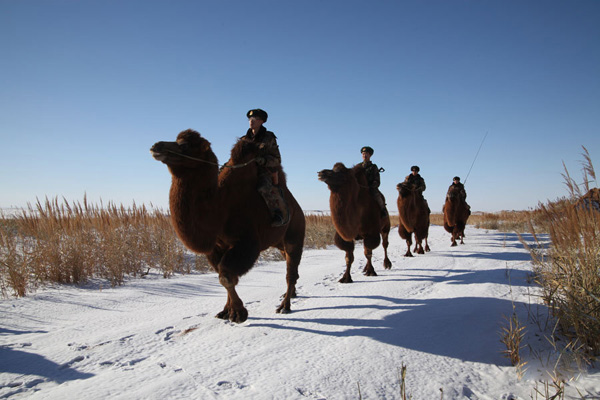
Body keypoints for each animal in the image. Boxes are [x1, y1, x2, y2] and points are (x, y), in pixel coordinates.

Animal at [150, 130, 304, 324]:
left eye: (185, 145)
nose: (156, 146)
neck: (220, 208)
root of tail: (297, 208)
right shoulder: (217, 247)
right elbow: (222, 275)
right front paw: (225, 311)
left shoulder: (246, 242)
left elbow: (226, 277)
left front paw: (238, 313)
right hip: (279, 243)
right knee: (291, 268)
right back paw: (289, 296)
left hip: (294, 235)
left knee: (290, 271)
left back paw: (285, 306)